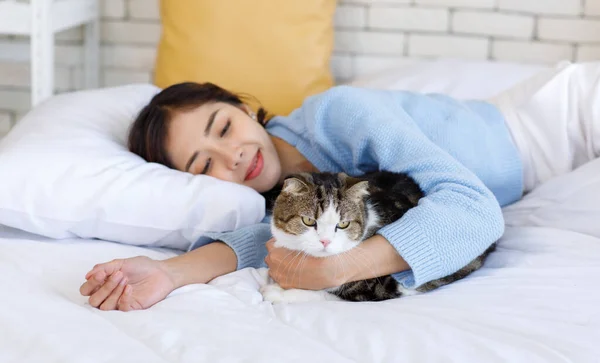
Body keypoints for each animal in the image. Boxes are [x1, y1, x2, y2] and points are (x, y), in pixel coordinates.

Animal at [260, 171, 494, 304]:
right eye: (309, 221)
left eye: (343, 224)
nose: (325, 241)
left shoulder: (380, 289)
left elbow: (326, 294)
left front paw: (276, 292)